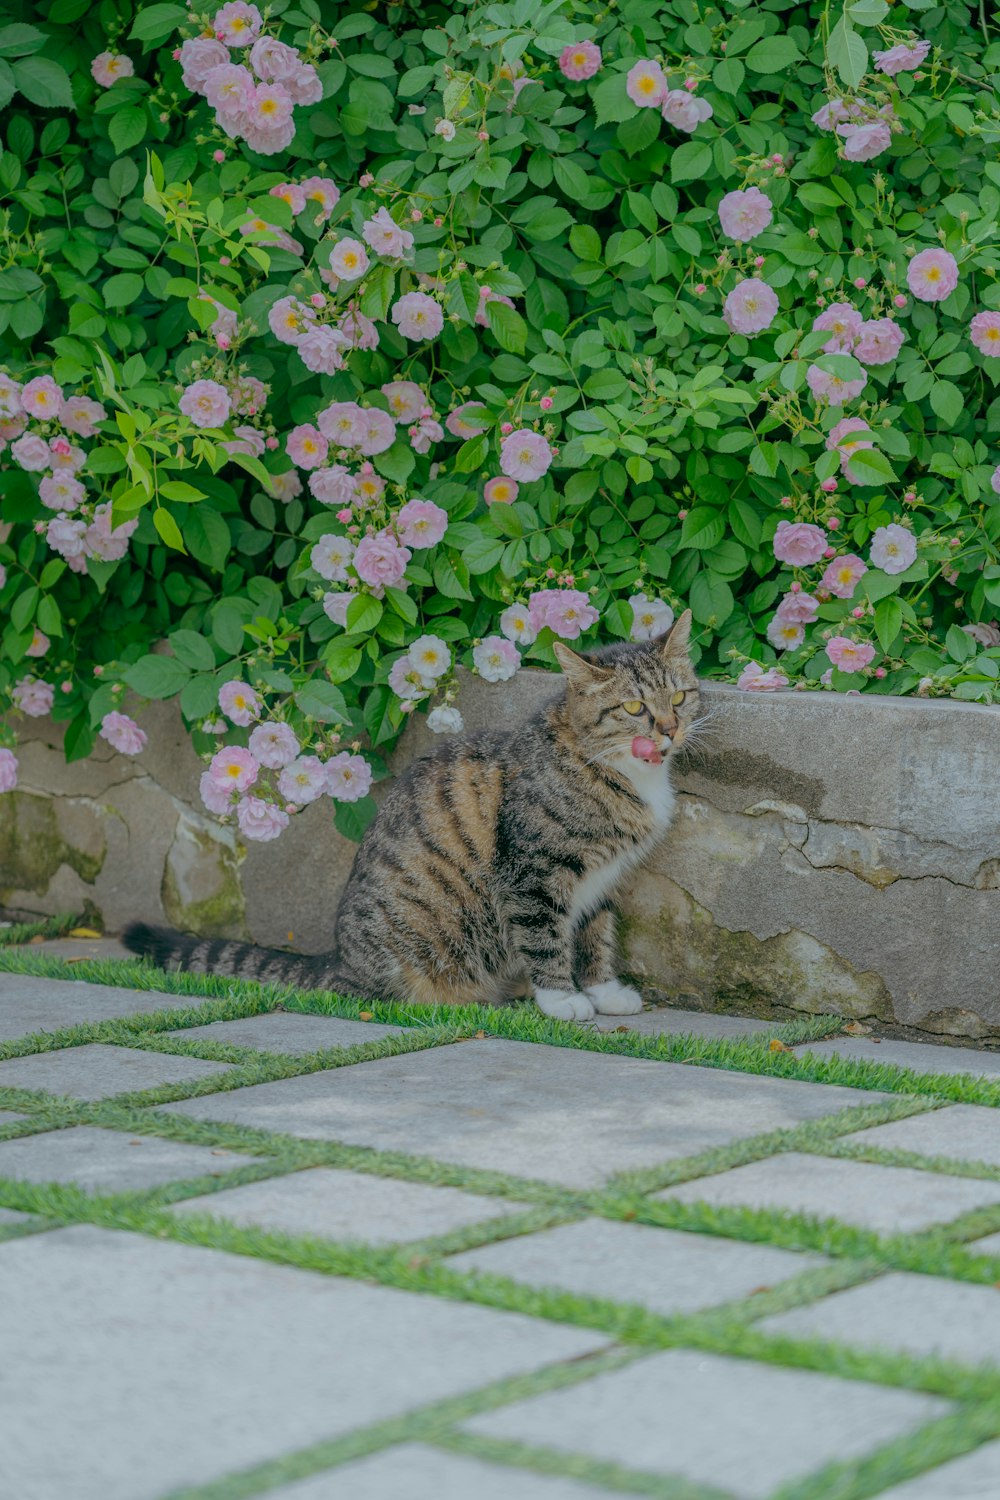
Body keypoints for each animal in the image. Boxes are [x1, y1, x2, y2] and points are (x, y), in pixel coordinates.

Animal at [125, 609, 701, 1020]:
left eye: (678, 696)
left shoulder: (602, 879)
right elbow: (545, 936)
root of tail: (339, 962)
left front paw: (604, 991)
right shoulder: (533, 871)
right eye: (633, 708)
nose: (670, 729)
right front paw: (562, 999)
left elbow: (595, 935)